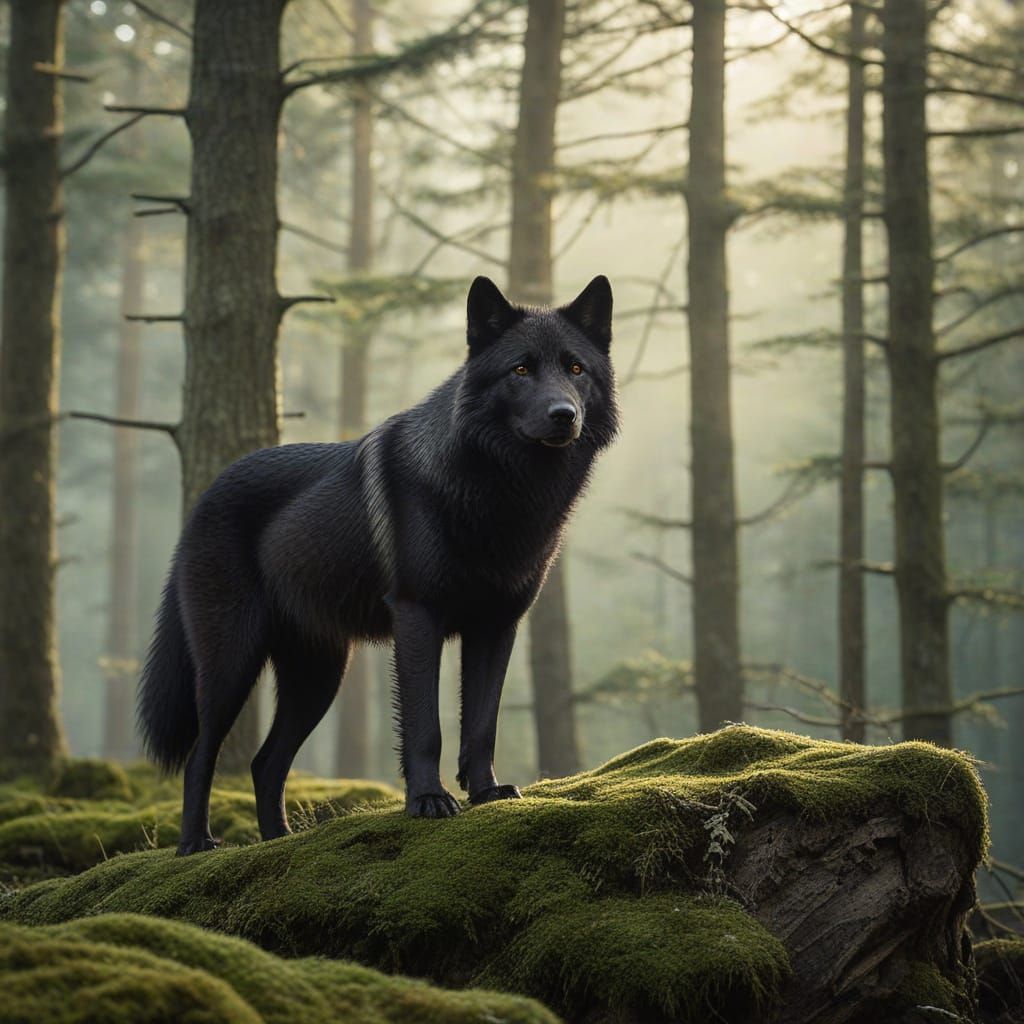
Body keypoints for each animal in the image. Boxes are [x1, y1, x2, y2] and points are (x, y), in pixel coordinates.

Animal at [138, 275, 619, 854]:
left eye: (576, 369)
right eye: (521, 370)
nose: (563, 415)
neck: (501, 490)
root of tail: (202, 499)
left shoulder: (496, 626)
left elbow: (482, 724)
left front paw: (486, 793)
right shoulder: (417, 617)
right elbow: (426, 726)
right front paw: (429, 801)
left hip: (319, 677)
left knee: (265, 763)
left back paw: (279, 842)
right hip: (232, 663)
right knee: (200, 756)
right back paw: (196, 845)